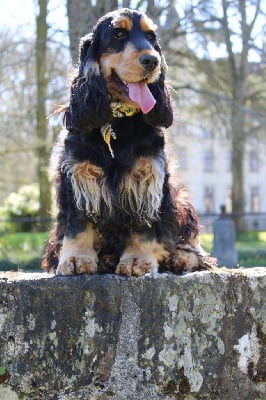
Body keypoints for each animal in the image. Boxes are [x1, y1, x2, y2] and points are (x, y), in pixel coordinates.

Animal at [42, 7, 216, 276]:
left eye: (151, 37)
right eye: (118, 34)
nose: (152, 61)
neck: (117, 123)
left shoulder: (147, 176)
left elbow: (143, 226)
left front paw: (137, 260)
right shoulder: (78, 174)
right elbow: (77, 224)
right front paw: (75, 259)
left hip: (180, 201)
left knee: (193, 246)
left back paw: (180, 257)